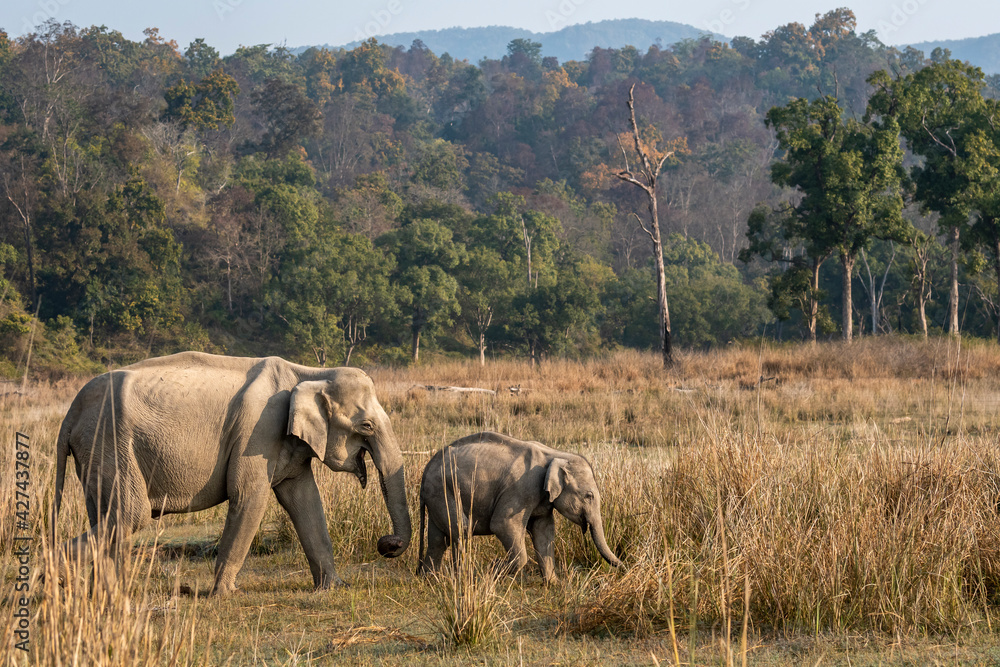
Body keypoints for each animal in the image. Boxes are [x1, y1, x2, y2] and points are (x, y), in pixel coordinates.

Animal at [52, 351, 411, 596]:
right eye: (366, 426)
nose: (387, 544)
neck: (309, 372)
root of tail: (70, 413)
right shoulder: (258, 430)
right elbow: (250, 496)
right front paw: (224, 594)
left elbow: (305, 500)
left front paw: (334, 587)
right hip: (110, 442)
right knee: (130, 515)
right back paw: (50, 575)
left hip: (98, 452)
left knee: (109, 517)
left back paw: (104, 592)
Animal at [416, 431, 622, 582]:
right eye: (589, 496)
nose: (624, 567)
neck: (556, 454)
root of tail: (427, 469)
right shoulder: (522, 488)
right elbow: (502, 524)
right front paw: (494, 568)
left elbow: (544, 531)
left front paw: (554, 584)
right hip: (443, 491)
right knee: (461, 530)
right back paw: (461, 578)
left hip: (437, 497)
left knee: (438, 539)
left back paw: (430, 580)